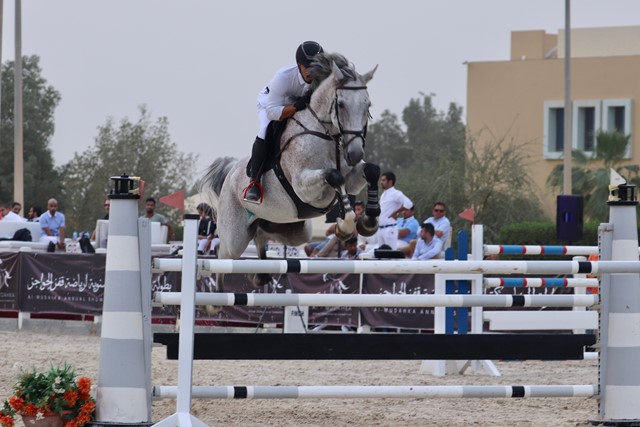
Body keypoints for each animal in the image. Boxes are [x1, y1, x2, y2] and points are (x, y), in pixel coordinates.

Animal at [202, 52, 381, 289]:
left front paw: (369, 221)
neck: (326, 134)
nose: (355, 154)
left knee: (261, 234)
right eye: (341, 104)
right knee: (222, 256)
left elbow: (372, 170)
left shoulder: (351, 180)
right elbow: (334, 176)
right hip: (234, 237)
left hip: (295, 230)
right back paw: (217, 294)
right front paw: (346, 224)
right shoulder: (303, 185)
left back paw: (259, 275)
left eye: (367, 104)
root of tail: (231, 172)